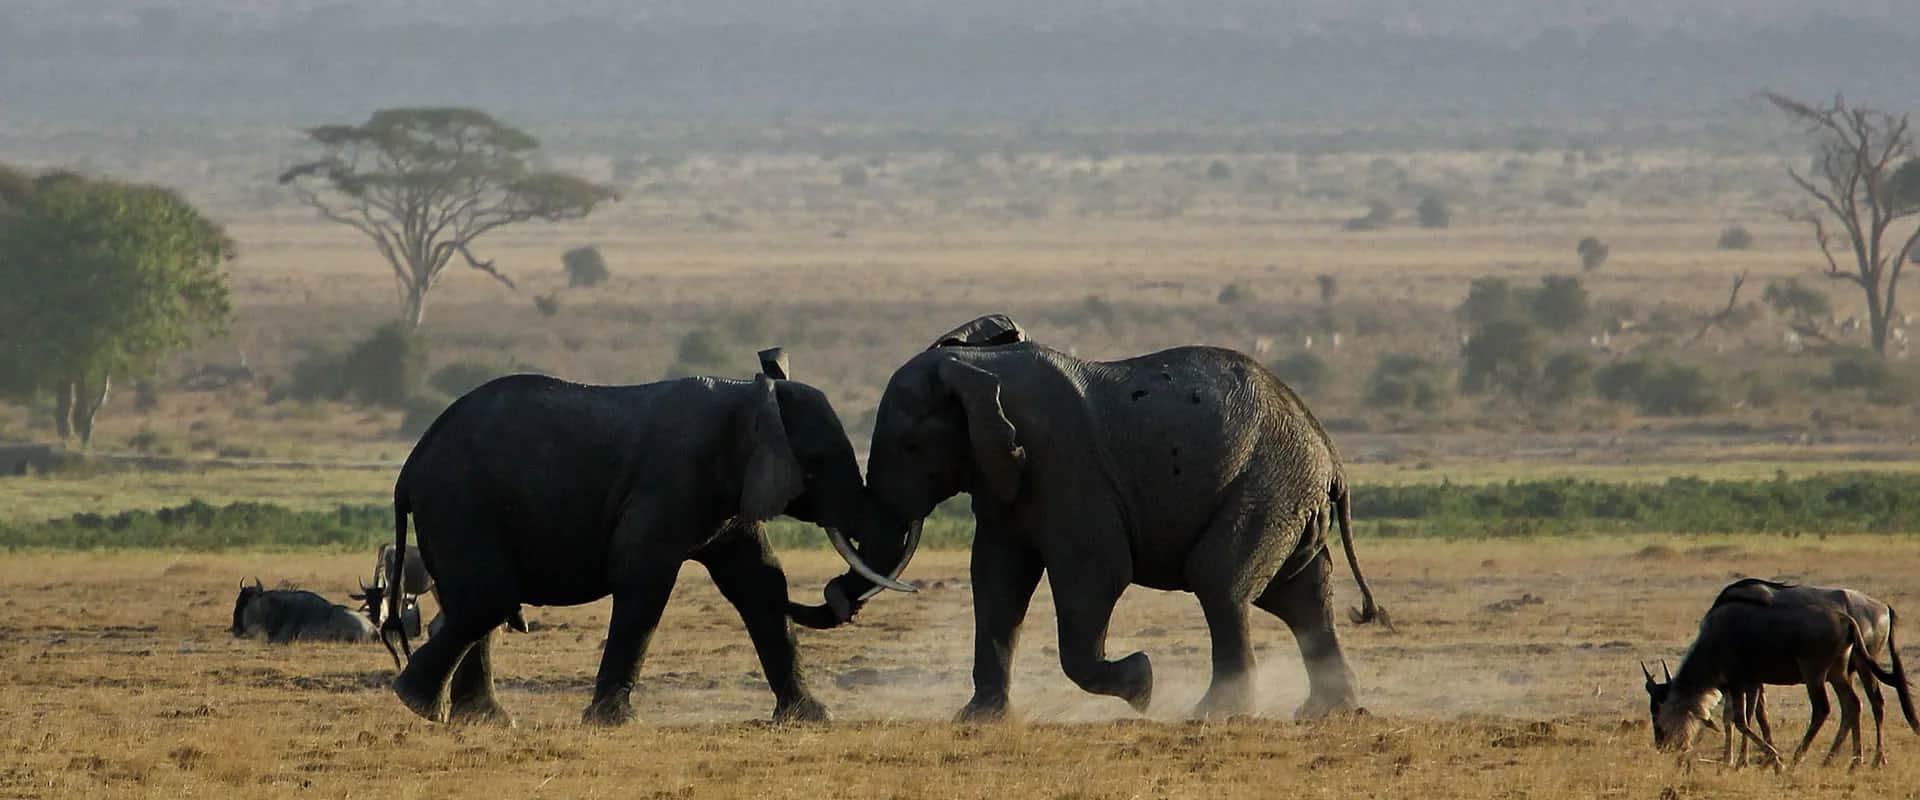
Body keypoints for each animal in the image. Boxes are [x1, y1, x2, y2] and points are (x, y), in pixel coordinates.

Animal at [383, 349, 920, 726]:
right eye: (820, 463)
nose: (840, 596)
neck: (749, 397)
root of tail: (409, 467)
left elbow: (761, 583)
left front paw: (813, 718)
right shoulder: (671, 477)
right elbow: (643, 577)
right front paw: (613, 723)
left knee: (476, 603)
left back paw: (480, 719)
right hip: (459, 502)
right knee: (488, 598)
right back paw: (416, 703)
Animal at [856, 315, 1388, 721]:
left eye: (908, 446)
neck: (978, 366)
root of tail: (1330, 455)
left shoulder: (1067, 468)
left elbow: (1096, 575)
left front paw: (1142, 686)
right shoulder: (1004, 480)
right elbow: (996, 579)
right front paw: (977, 720)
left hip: (1269, 485)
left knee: (1221, 583)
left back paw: (1214, 714)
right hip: (1287, 495)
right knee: (1300, 596)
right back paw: (1326, 713)